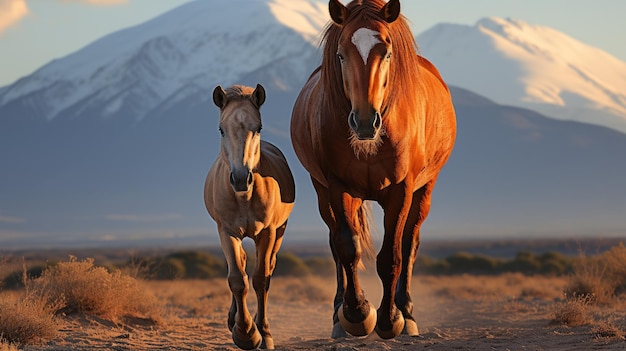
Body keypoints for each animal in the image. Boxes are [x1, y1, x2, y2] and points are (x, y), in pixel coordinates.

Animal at [202, 84, 294, 350]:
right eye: (221, 129)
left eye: (259, 127)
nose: (241, 178)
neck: (243, 197)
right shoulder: (227, 232)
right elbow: (237, 279)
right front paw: (244, 333)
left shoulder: (268, 232)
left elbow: (260, 279)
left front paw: (262, 333)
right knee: (240, 264)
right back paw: (233, 319)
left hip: (280, 231)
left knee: (268, 269)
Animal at [290, 0, 456, 340]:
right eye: (341, 54)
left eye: (387, 52)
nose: (365, 121)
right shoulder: (337, 186)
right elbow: (347, 247)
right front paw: (356, 314)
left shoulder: (401, 190)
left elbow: (392, 256)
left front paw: (390, 319)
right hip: (323, 191)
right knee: (336, 243)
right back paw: (339, 316)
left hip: (424, 189)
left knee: (410, 243)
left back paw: (407, 312)